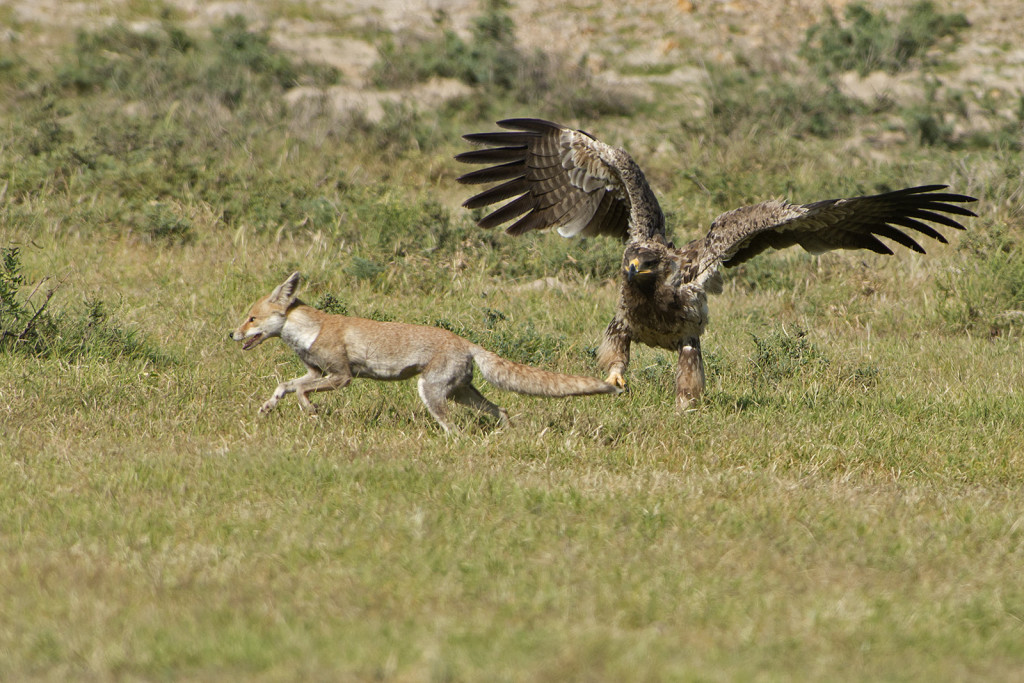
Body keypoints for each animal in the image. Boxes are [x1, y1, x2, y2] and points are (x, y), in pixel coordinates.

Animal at [230, 272, 614, 432]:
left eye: (251, 318)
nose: (231, 333)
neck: (310, 331)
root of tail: (467, 342)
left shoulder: (341, 377)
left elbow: (299, 392)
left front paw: (310, 412)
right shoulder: (315, 372)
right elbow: (284, 386)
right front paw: (266, 409)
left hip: (431, 393)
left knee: (454, 428)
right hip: (461, 394)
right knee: (500, 410)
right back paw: (507, 435)